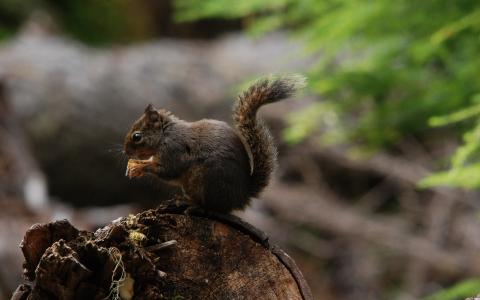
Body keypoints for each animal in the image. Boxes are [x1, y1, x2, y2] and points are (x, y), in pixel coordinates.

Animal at [122, 74, 306, 213]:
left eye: (137, 136)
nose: (126, 152)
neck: (164, 136)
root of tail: (241, 197)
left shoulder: (174, 150)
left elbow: (168, 170)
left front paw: (140, 166)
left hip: (205, 179)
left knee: (212, 207)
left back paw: (193, 204)